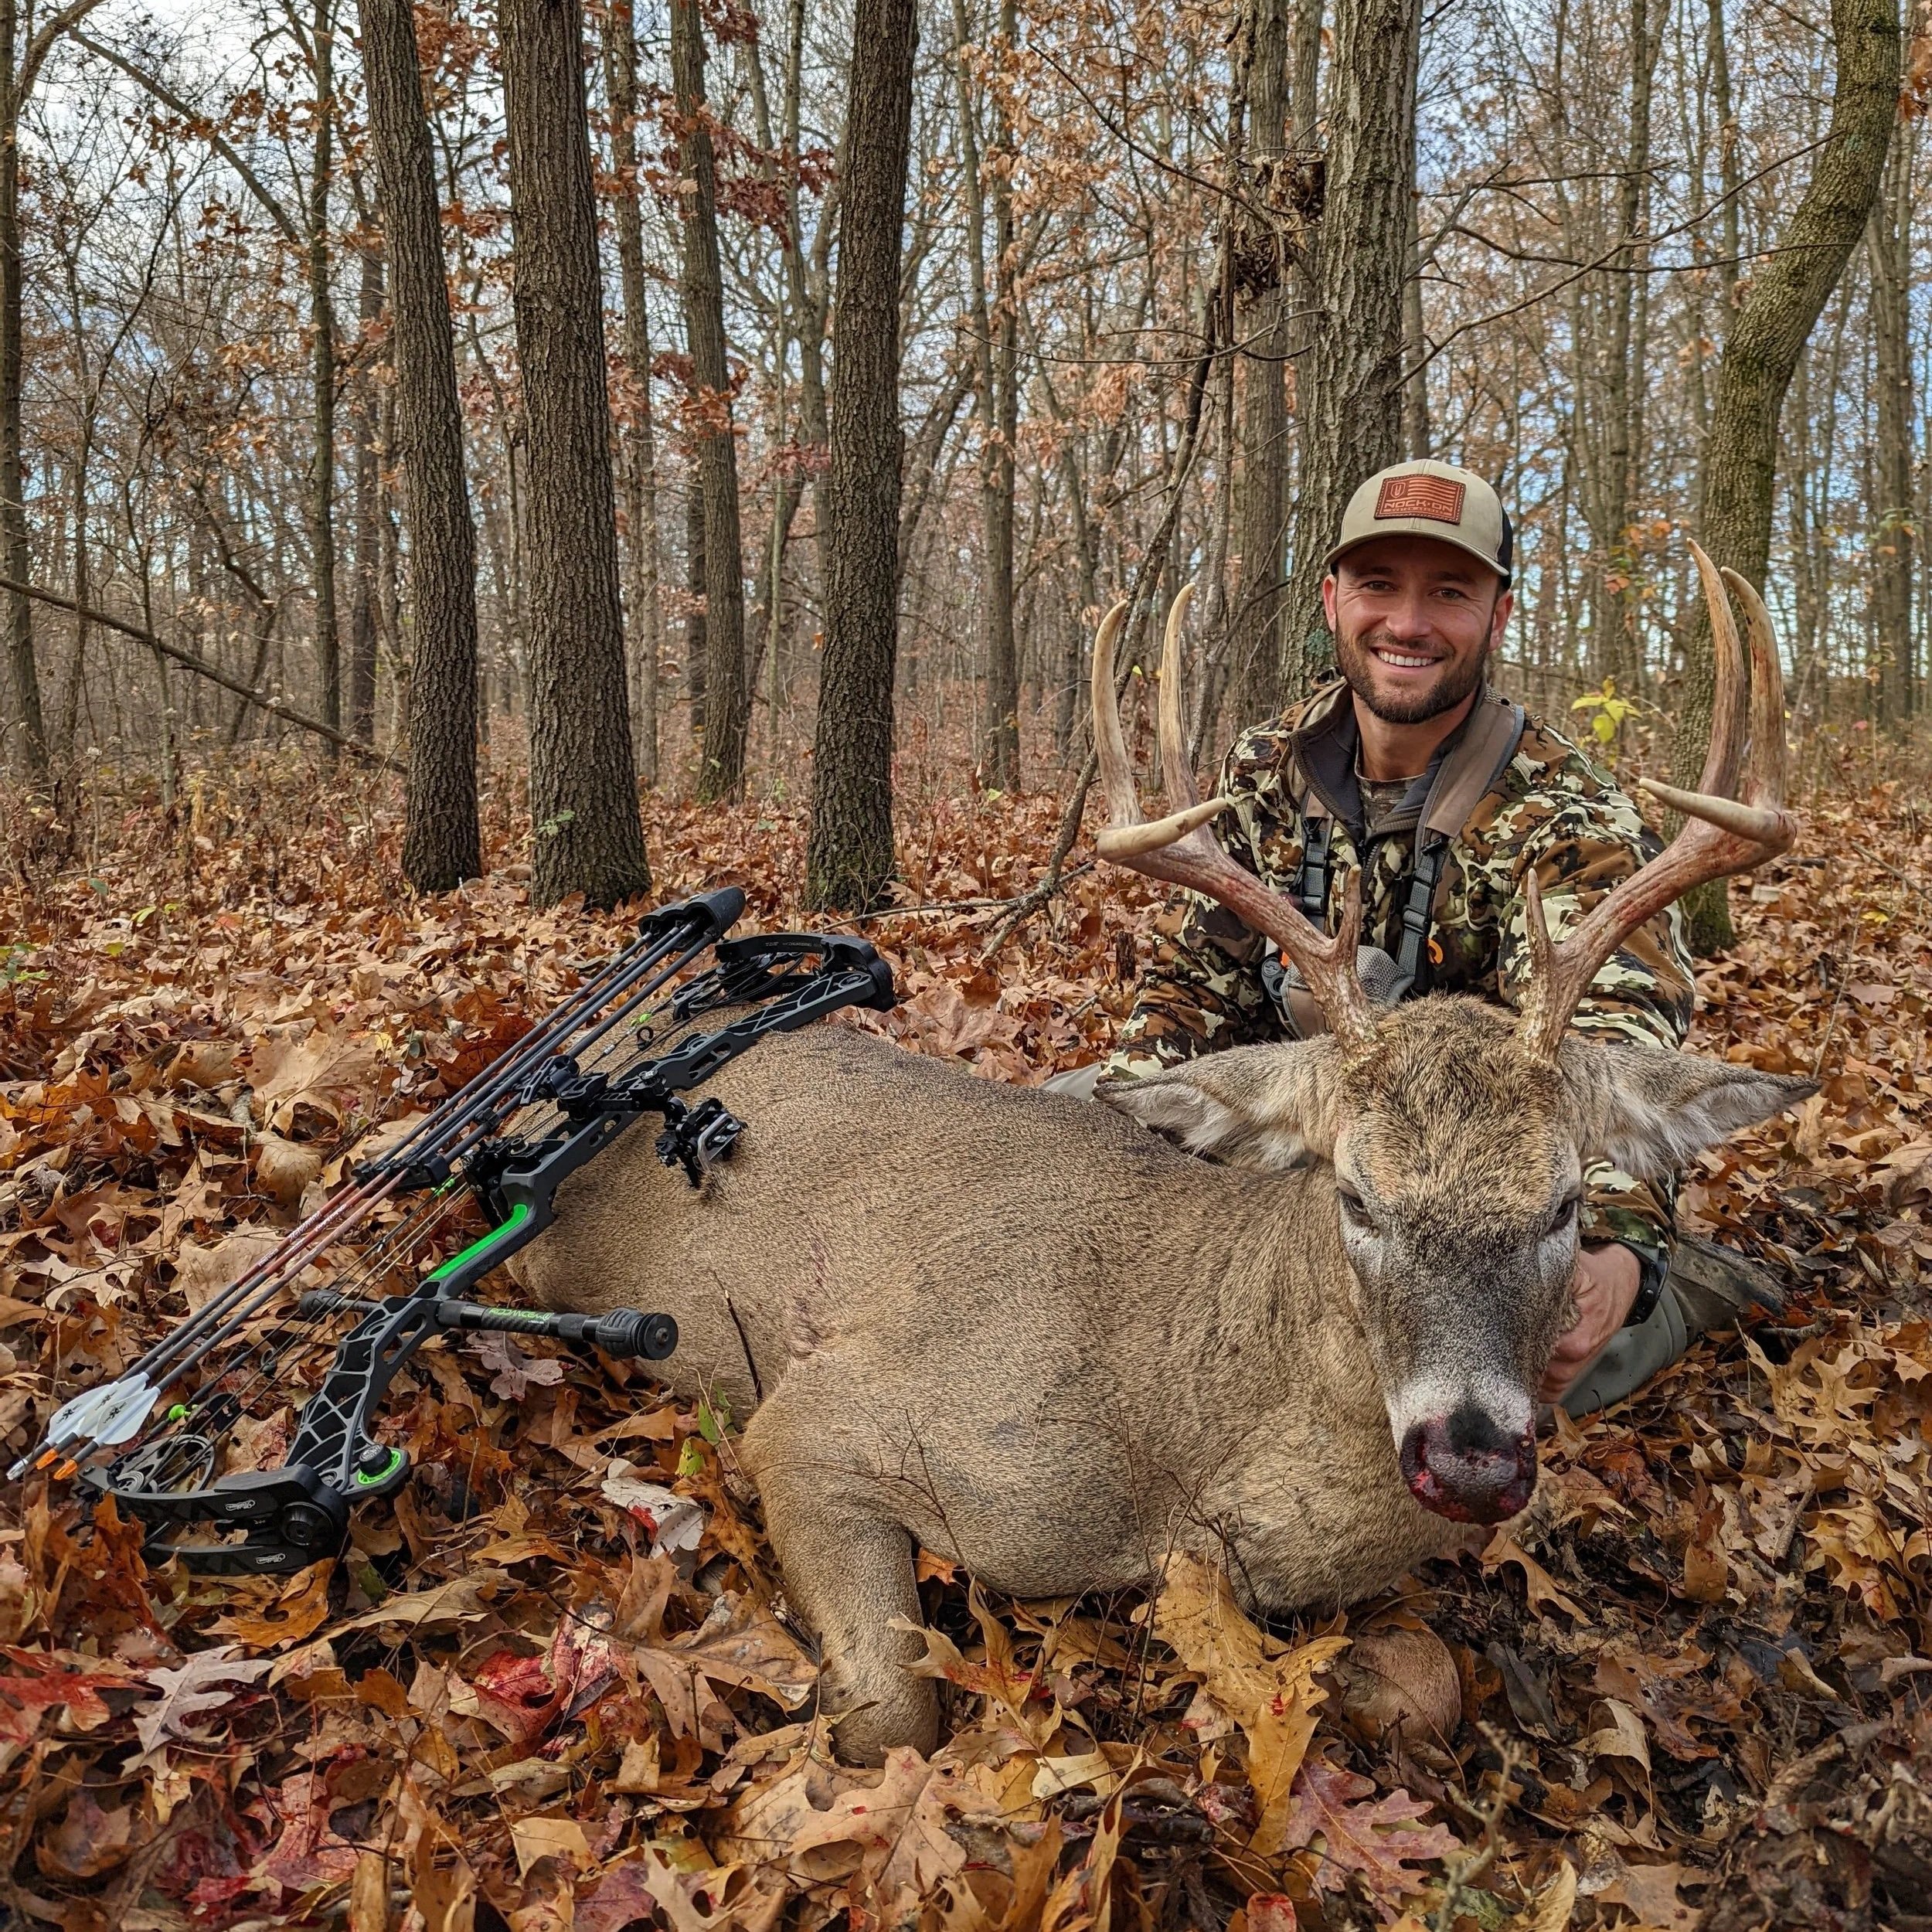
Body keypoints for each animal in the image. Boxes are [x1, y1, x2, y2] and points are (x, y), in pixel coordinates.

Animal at [512, 543, 1812, 1763]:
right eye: (1356, 1196)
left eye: (1563, 1206)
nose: (1475, 1461)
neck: (1178, 1447)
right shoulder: (821, 1416)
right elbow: (896, 1718)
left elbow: (1423, 1689)